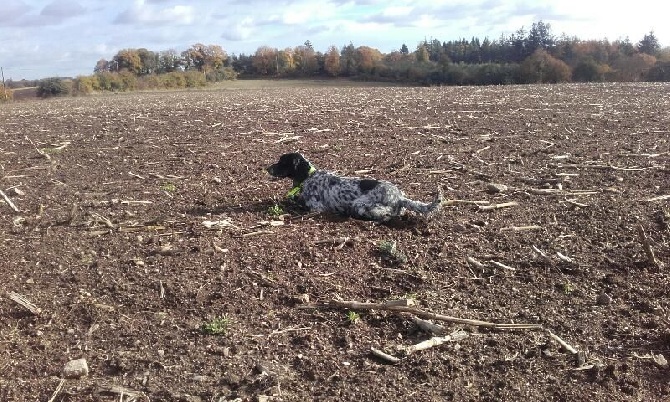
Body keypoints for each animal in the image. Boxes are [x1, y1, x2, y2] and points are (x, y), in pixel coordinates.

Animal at [266, 153, 444, 223]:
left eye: (282, 161)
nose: (267, 168)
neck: (308, 177)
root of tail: (400, 197)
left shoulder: (316, 208)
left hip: (359, 205)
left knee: (385, 215)